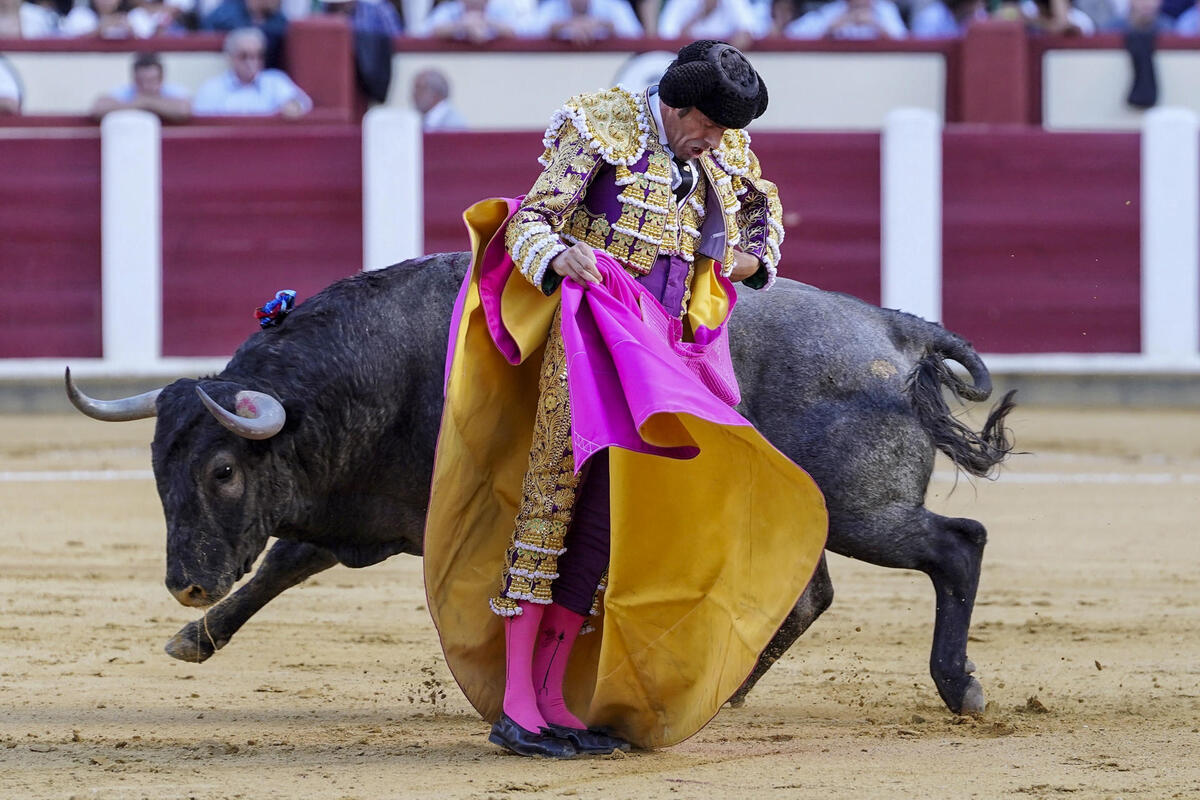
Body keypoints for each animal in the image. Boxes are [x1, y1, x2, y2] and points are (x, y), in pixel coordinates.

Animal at [60, 253, 1008, 714]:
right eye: (158, 470)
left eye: (223, 471)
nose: (185, 584)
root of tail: (893, 329)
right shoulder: (361, 512)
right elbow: (283, 565)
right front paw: (197, 637)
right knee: (808, 596)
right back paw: (722, 690)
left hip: (860, 508)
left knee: (957, 547)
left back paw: (960, 688)